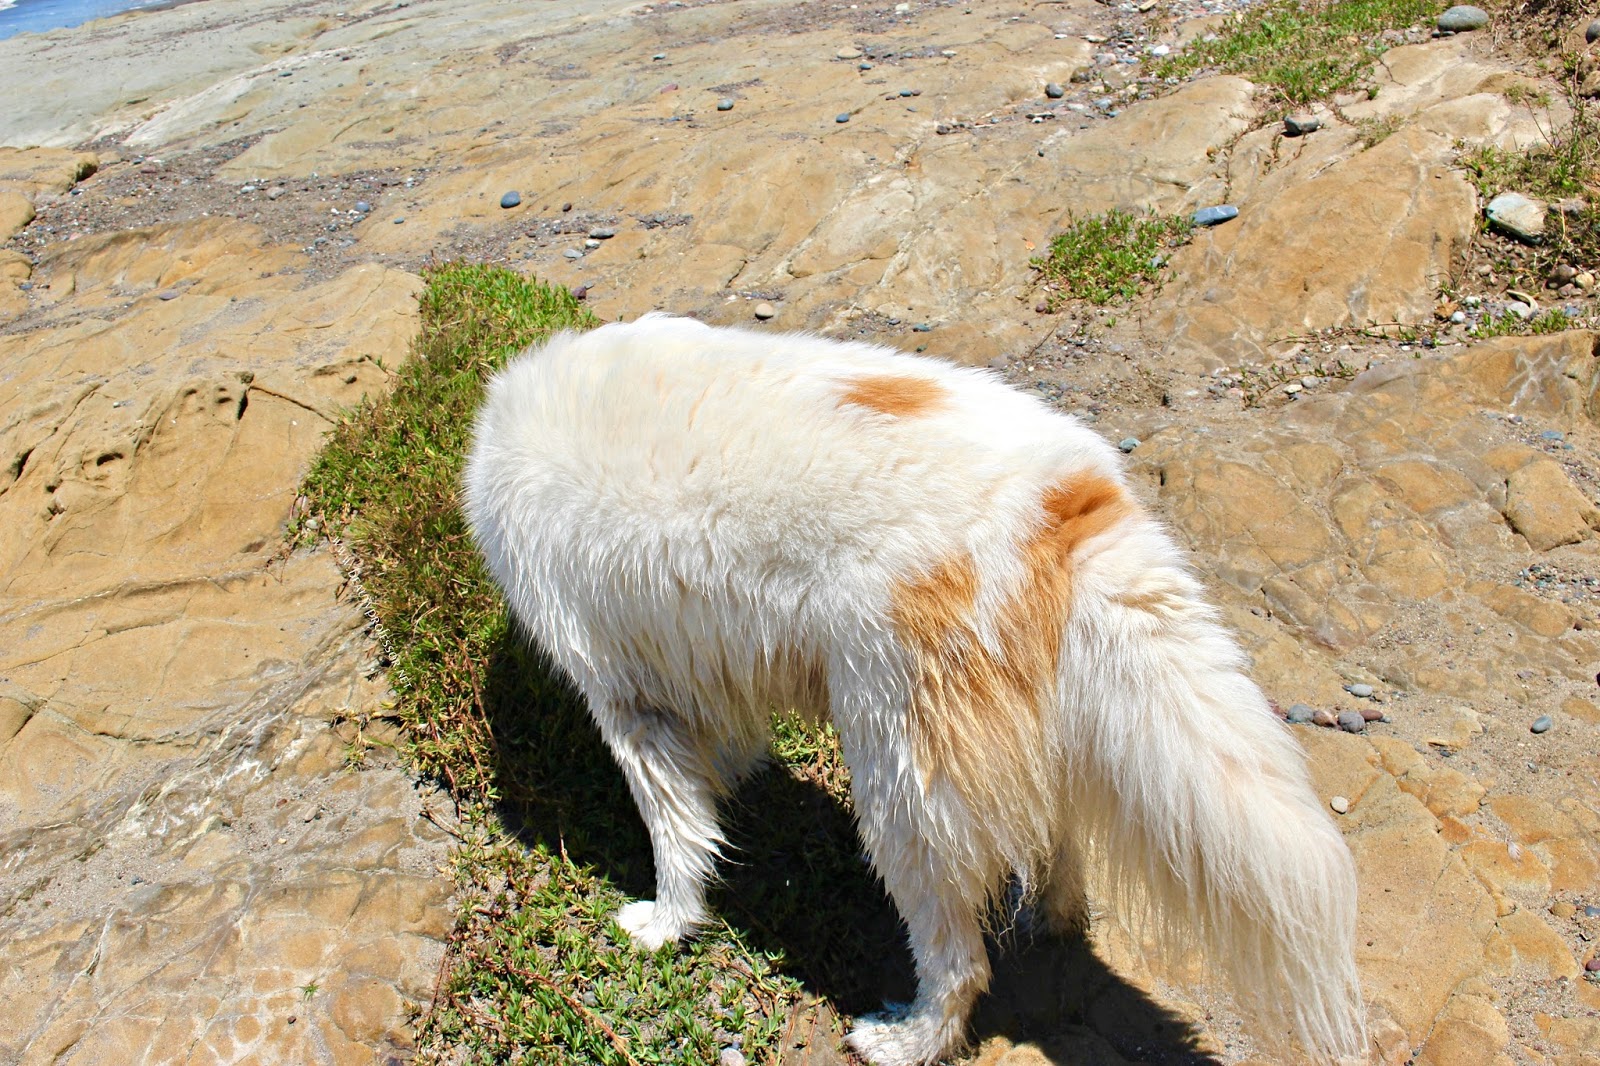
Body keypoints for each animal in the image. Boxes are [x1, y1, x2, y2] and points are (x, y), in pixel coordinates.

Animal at [461, 313, 1365, 1066]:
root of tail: (1061, 506)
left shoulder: (627, 698)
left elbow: (677, 835)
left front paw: (662, 926)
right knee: (1058, 841)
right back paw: (1050, 916)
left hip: (902, 782)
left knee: (960, 960)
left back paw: (907, 1040)